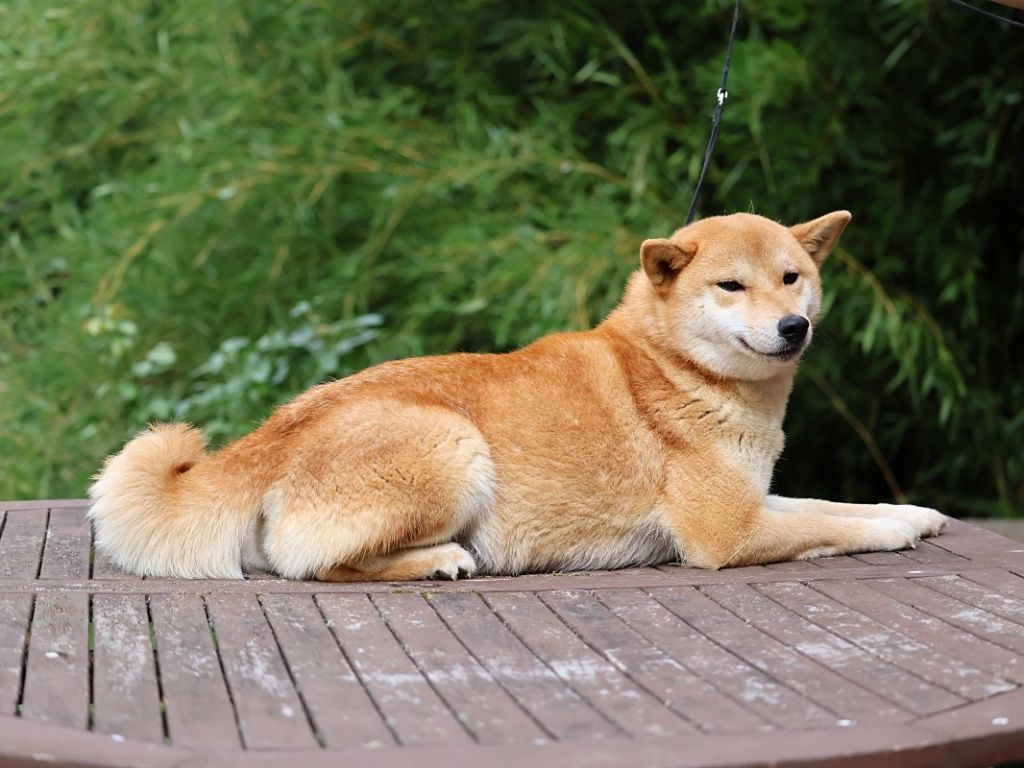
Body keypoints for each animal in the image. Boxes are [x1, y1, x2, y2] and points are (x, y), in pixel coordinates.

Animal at [92, 210, 946, 581]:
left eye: (792, 276)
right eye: (731, 286)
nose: (793, 326)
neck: (669, 365)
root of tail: (270, 435)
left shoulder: (752, 500)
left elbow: (838, 506)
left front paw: (914, 512)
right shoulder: (726, 532)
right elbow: (834, 524)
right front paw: (898, 529)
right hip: (455, 447)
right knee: (309, 565)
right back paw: (437, 561)